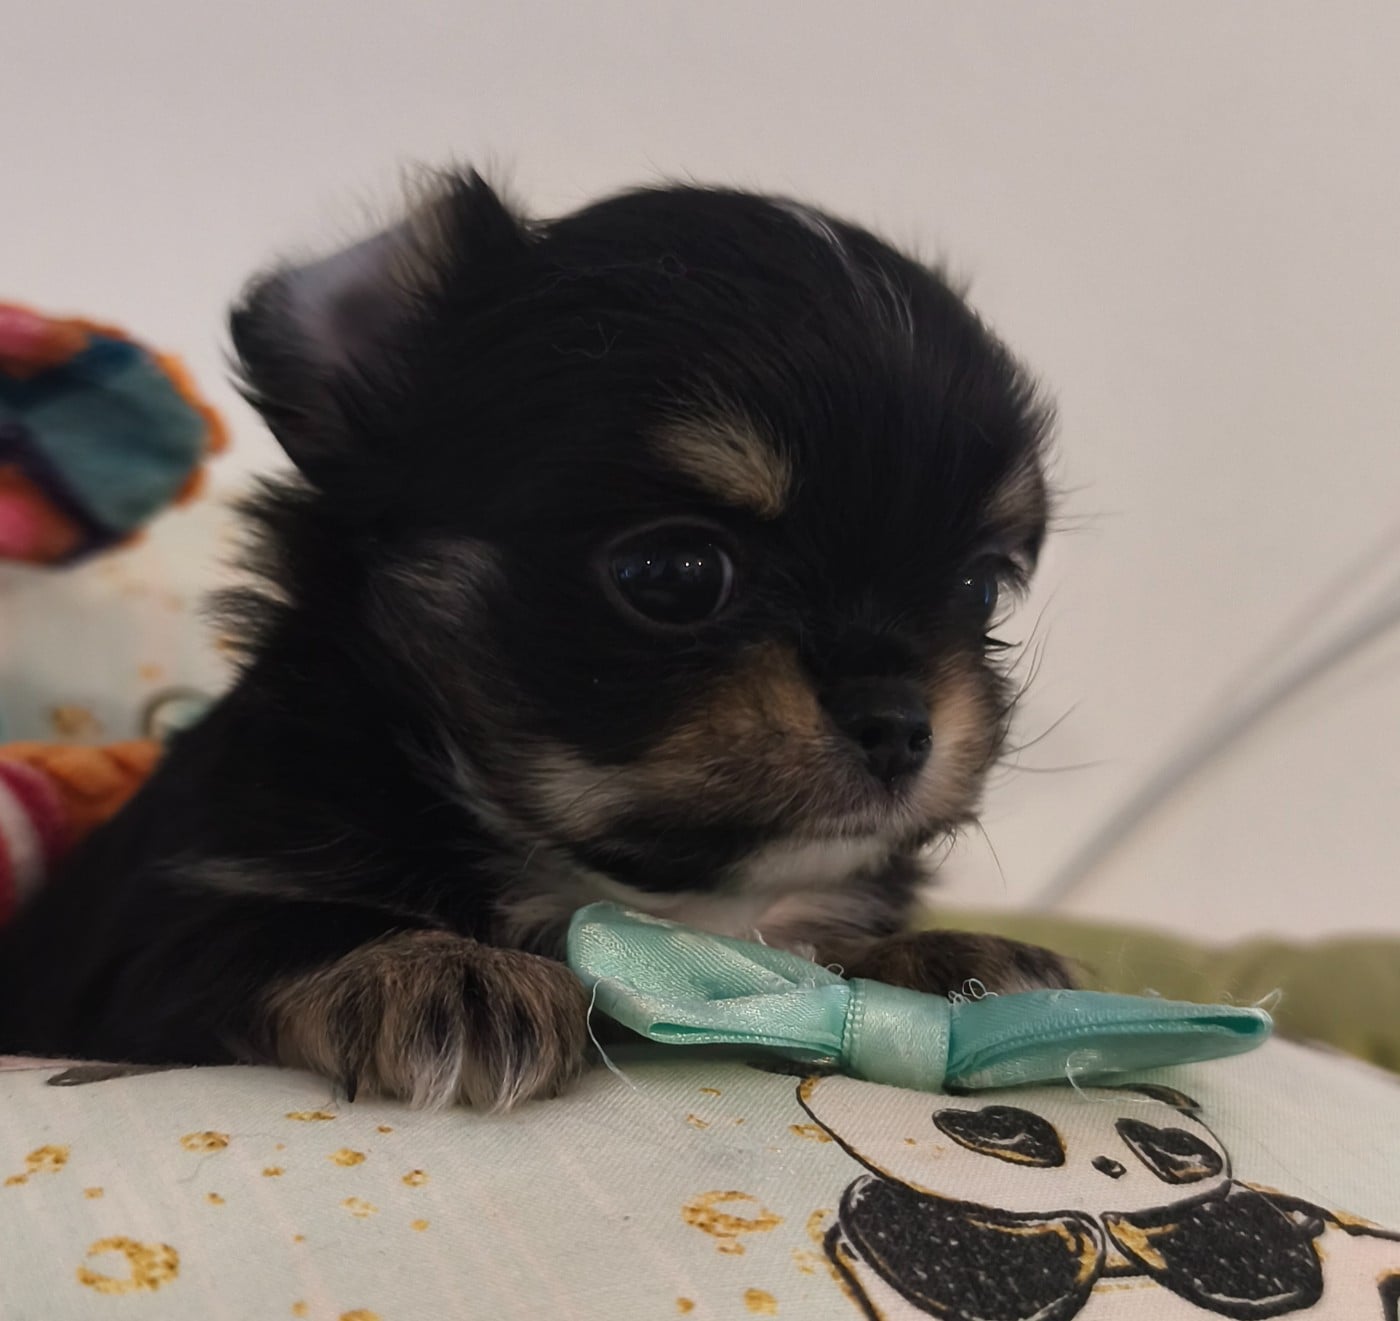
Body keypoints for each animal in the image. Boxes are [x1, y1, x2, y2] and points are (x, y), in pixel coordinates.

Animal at [0, 170, 1073, 1108]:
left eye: (979, 588)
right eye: (674, 572)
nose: (900, 723)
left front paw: (951, 957)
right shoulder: (145, 948)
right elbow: (268, 926)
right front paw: (435, 967)